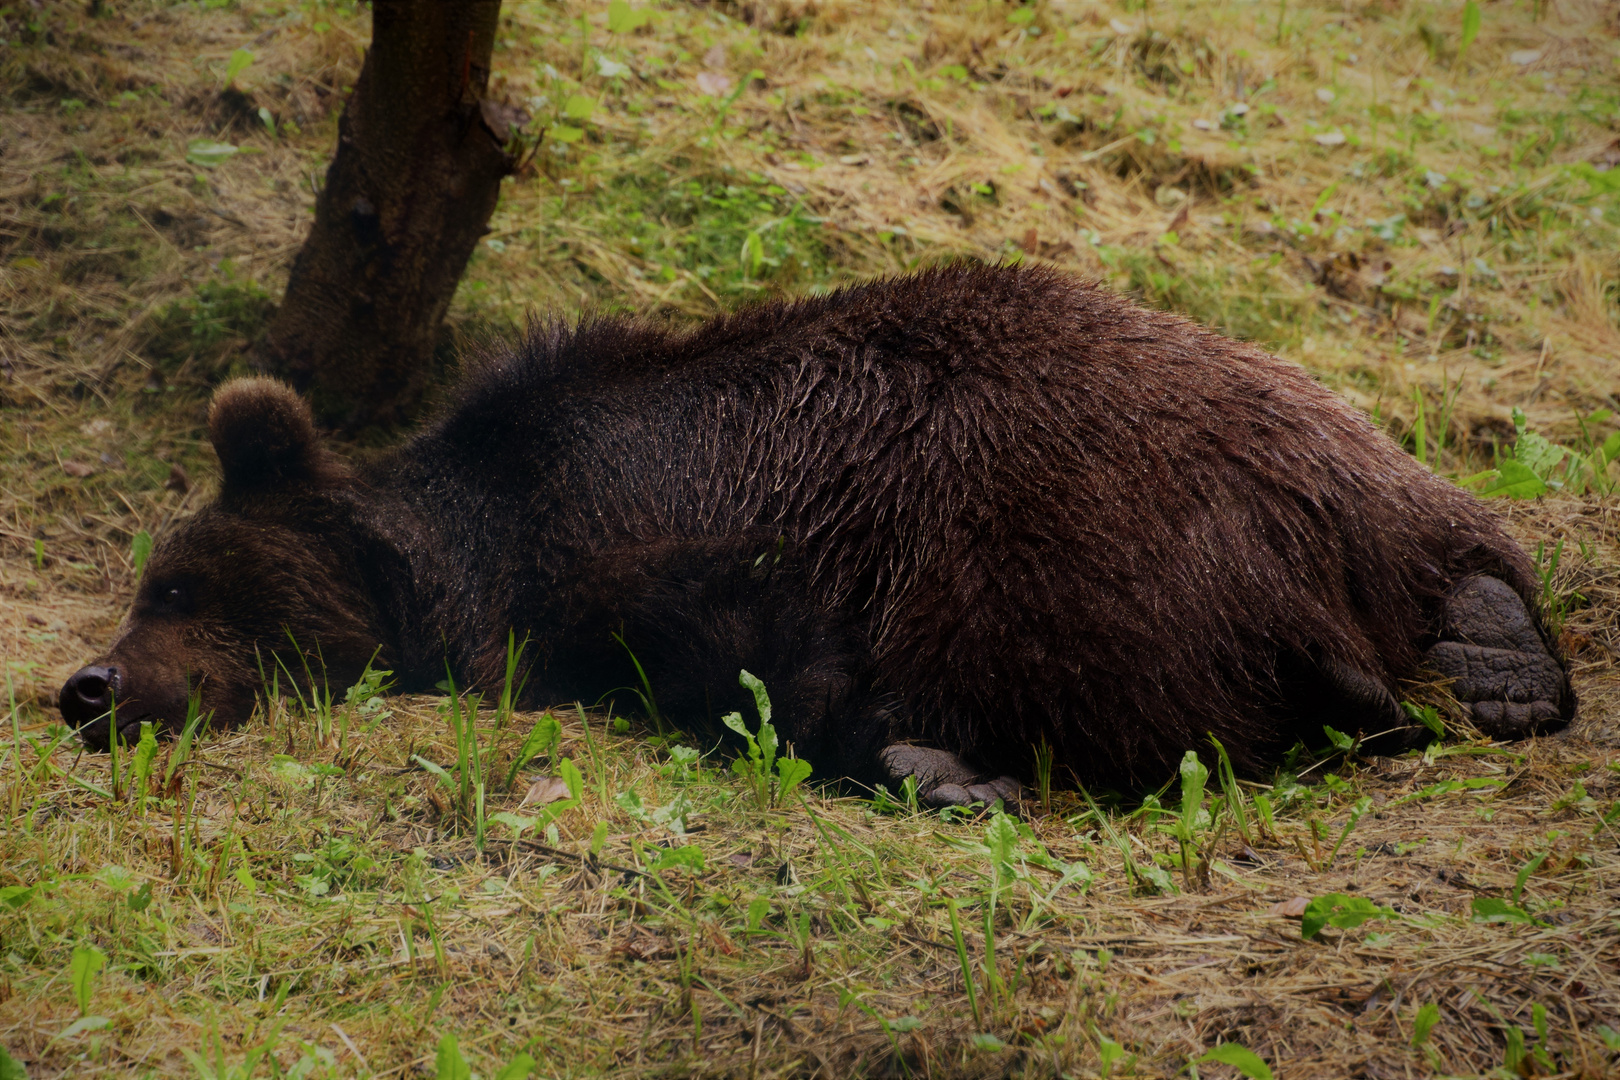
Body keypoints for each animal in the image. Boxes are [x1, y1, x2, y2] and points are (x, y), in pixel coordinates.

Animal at [59, 263, 1568, 803]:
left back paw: (943, 762)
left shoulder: (685, 560)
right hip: (1322, 448)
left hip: (1056, 529)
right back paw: (1502, 657)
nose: (86, 686)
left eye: (177, 584)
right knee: (1443, 534)